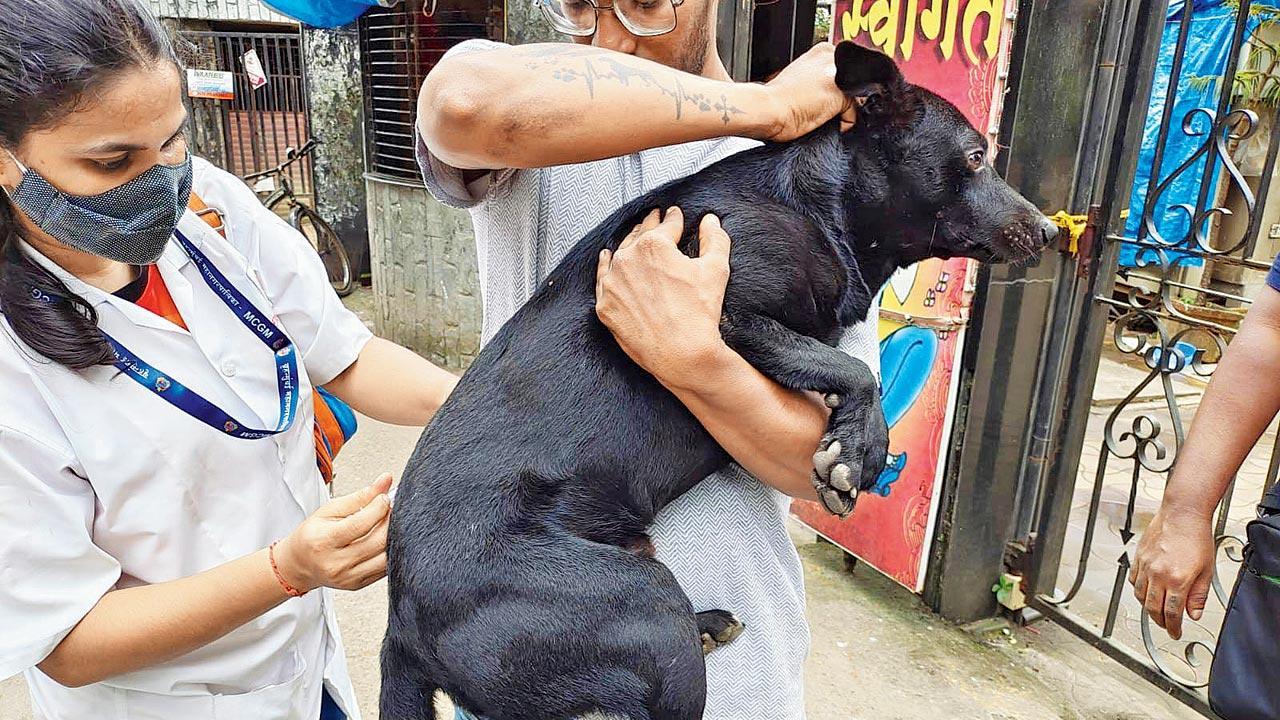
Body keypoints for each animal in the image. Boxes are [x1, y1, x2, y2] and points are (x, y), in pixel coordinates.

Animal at [376, 43, 1049, 717]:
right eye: (975, 157)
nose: (1049, 230)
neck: (822, 209)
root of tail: (401, 625)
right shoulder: (724, 316)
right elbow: (854, 367)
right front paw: (862, 449)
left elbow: (840, 363)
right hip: (644, 605)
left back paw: (708, 624)